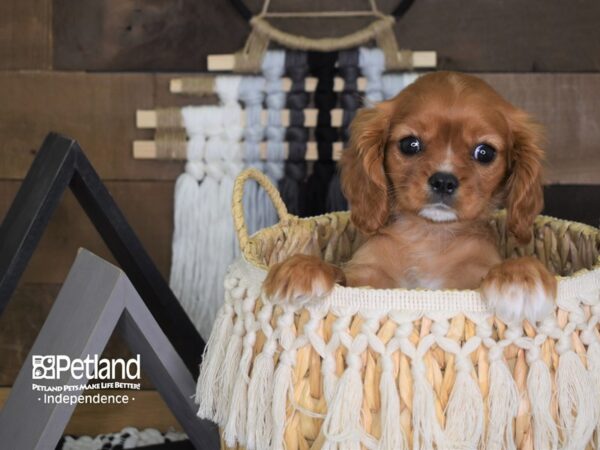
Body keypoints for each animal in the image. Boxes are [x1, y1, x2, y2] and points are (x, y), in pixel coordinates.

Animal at [264, 71, 556, 324]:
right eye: (410, 144)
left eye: (484, 152)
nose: (444, 181)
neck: (428, 236)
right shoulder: (366, 277)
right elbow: (340, 272)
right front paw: (303, 268)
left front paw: (519, 277)